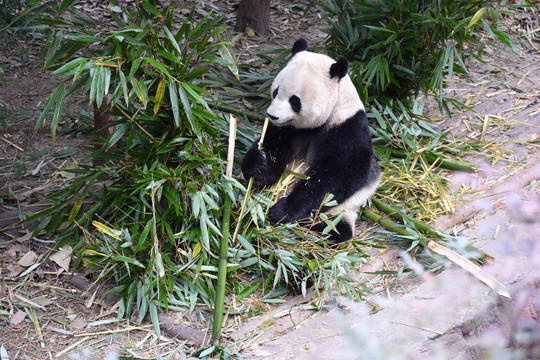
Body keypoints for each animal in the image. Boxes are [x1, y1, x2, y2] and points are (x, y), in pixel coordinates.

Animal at [240, 38, 380, 243]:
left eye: (294, 100)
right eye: (276, 92)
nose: (272, 115)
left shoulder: (348, 127)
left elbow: (334, 178)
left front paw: (282, 210)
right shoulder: (286, 130)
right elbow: (273, 150)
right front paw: (258, 164)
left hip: (342, 209)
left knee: (336, 224)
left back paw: (322, 228)